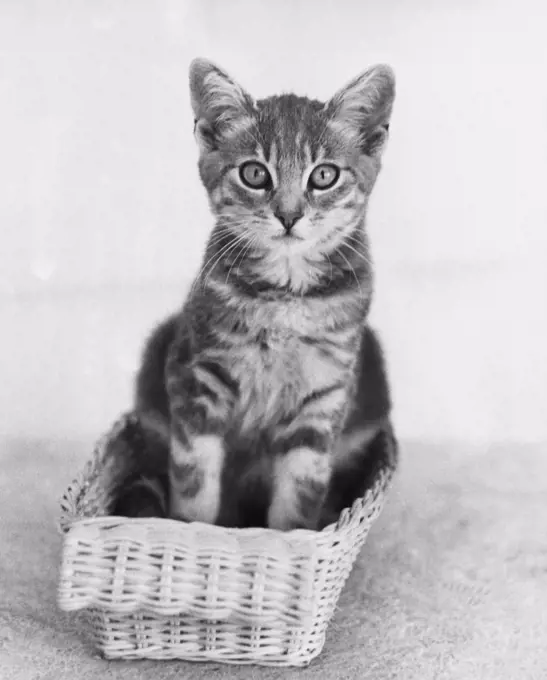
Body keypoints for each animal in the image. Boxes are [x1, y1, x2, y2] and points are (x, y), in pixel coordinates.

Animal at [134, 59, 398, 532]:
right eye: (255, 173)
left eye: (324, 175)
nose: (289, 215)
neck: (284, 295)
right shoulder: (196, 376)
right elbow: (194, 477)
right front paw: (192, 530)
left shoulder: (325, 395)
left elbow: (299, 493)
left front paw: (289, 536)